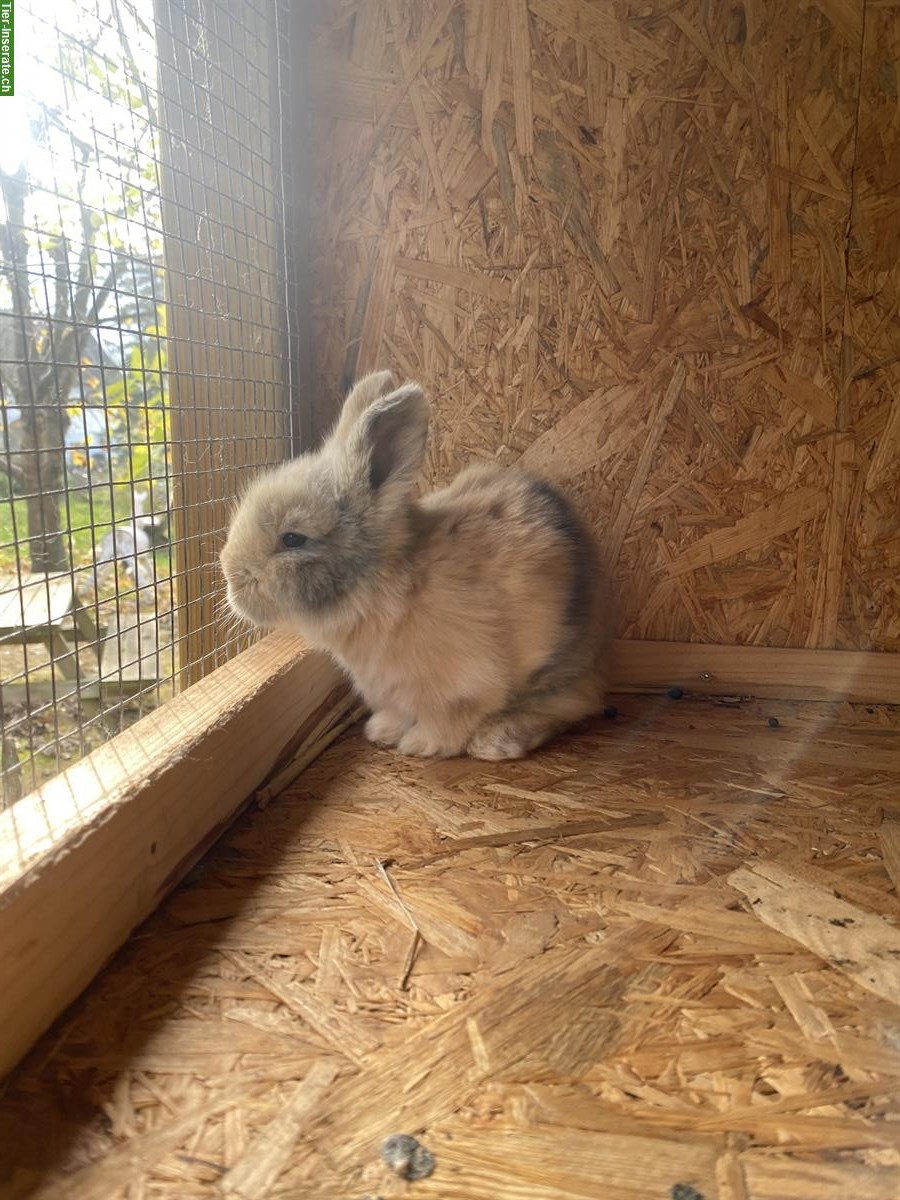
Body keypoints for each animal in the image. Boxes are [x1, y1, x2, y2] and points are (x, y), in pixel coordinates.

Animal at [221, 370, 613, 760]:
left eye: (293, 539)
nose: (230, 578)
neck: (383, 585)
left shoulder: (461, 684)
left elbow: (448, 720)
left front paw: (421, 744)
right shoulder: (389, 689)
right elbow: (398, 712)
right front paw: (382, 731)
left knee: (575, 702)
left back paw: (496, 740)